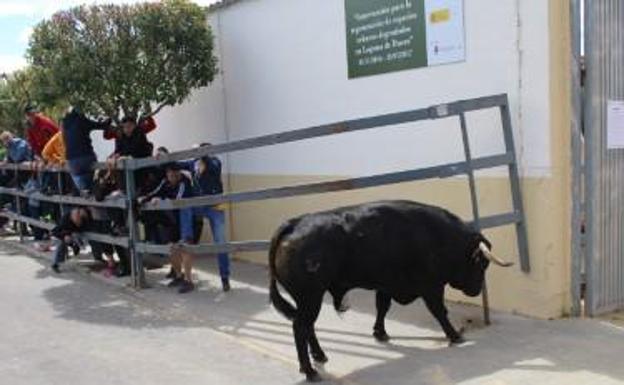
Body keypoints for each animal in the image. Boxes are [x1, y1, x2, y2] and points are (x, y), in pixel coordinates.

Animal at [268, 200, 512, 380]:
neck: (438, 236)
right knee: (300, 326)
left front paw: (380, 333)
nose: (476, 290)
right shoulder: (431, 287)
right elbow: (440, 312)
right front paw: (455, 336)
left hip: (308, 299)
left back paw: (319, 356)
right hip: (310, 297)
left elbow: (382, 307)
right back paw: (310, 371)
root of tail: (294, 223)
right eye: (482, 264)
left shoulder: (386, 285)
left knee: (306, 326)